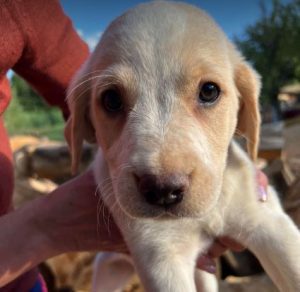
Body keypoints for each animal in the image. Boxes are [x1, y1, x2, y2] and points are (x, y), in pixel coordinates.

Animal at [65, 1, 300, 290]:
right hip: (108, 269)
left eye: (209, 91)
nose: (162, 190)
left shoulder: (269, 222)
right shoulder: (162, 259)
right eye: (111, 99)